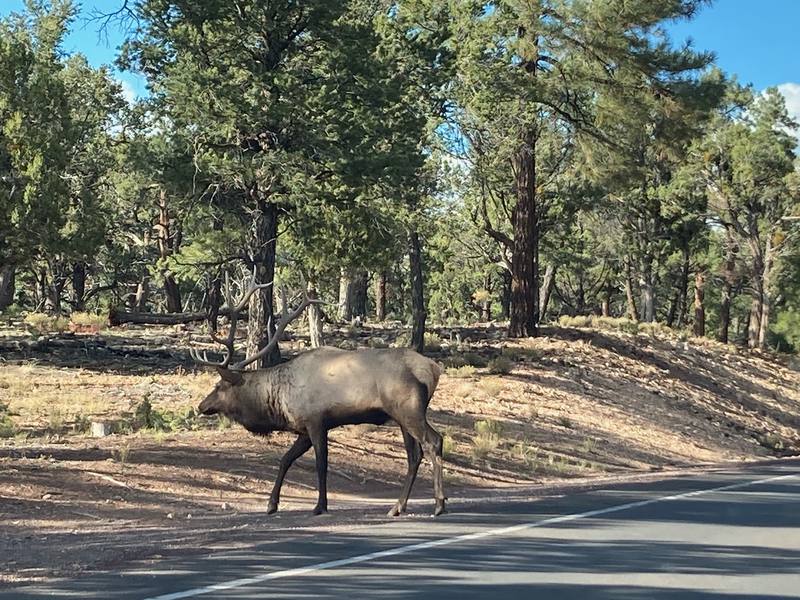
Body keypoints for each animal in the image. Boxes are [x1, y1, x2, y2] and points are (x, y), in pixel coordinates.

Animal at [191, 276, 446, 516]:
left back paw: (439, 504)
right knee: (414, 455)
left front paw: (320, 505)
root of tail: (433, 369)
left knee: (433, 441)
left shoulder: (316, 421)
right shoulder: (304, 429)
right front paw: (272, 504)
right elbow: (285, 459)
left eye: (218, 386)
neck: (279, 401)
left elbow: (321, 464)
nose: (201, 405)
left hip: (408, 409)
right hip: (402, 417)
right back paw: (397, 507)